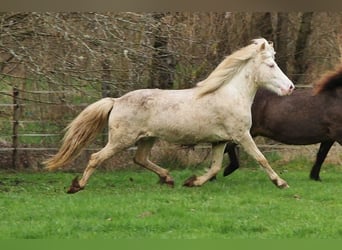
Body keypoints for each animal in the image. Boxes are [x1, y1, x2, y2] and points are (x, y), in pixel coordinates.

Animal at [44, 38, 294, 193]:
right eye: (271, 65)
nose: (290, 87)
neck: (231, 94)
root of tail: (116, 101)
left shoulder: (220, 141)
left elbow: (214, 167)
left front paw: (193, 182)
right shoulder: (241, 135)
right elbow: (261, 158)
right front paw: (281, 182)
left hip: (147, 138)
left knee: (140, 159)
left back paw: (168, 178)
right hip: (121, 140)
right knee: (97, 157)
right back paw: (77, 186)